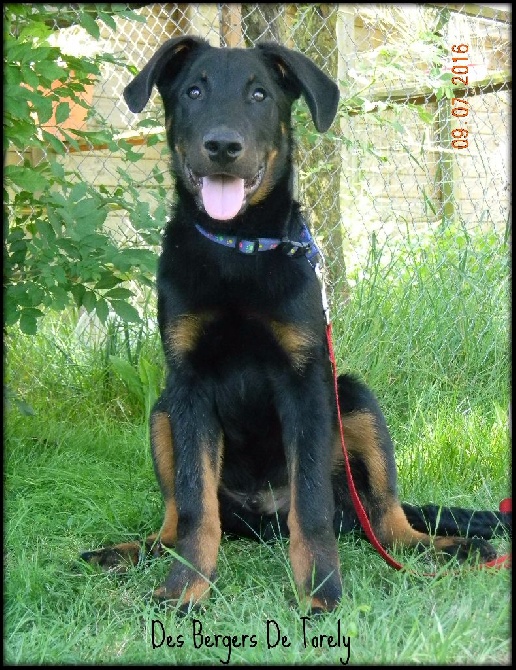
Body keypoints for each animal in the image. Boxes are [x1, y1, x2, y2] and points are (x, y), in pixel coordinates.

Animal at [82, 35, 510, 616]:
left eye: (260, 94)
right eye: (193, 91)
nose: (223, 145)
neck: (238, 246)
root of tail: (260, 520)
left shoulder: (304, 382)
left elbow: (309, 509)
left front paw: (321, 592)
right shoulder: (188, 387)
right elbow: (195, 507)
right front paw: (186, 587)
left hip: (352, 397)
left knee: (387, 522)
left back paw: (448, 546)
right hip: (162, 413)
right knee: (179, 521)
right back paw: (131, 551)